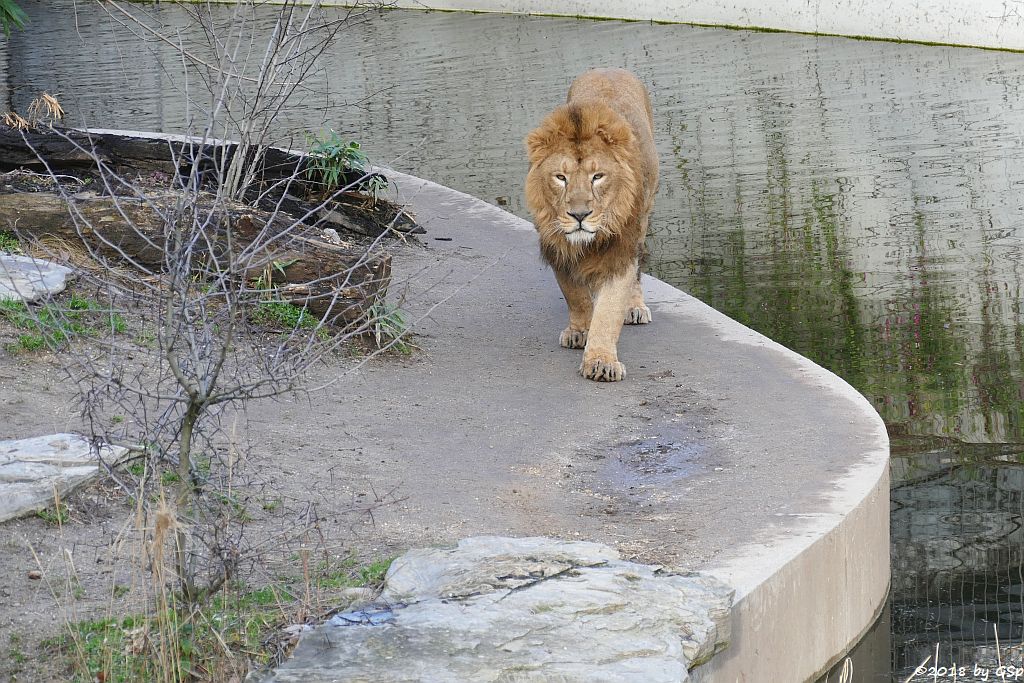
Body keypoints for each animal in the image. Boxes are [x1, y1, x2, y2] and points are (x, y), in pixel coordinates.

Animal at [524, 68, 659, 385]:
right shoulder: (557, 247)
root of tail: (609, 68)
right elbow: (576, 295)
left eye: (597, 176)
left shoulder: (619, 253)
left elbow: (608, 310)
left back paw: (634, 307)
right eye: (560, 177)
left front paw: (601, 362)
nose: (579, 215)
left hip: (644, 219)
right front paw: (580, 331)